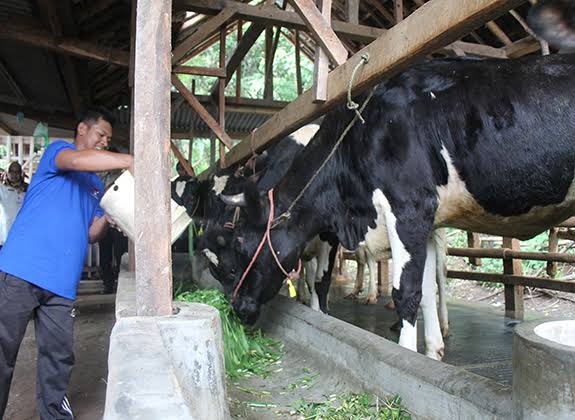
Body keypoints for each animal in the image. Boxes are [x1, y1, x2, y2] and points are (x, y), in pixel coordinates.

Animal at [201, 41, 575, 360]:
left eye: (241, 243)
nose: (238, 308)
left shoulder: (408, 209)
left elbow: (404, 291)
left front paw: (407, 354)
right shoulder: (426, 224)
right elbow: (423, 290)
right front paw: (432, 353)